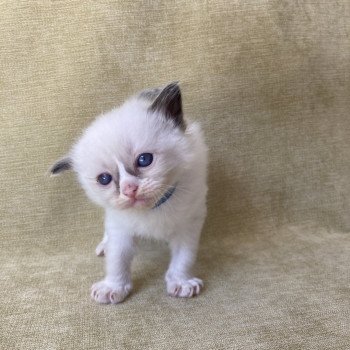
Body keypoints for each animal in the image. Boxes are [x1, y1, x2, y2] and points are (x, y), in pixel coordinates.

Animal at [51, 82, 208, 304]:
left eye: (144, 160)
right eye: (104, 179)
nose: (129, 190)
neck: (152, 209)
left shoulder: (189, 224)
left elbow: (183, 257)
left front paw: (180, 282)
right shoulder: (120, 226)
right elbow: (117, 260)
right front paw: (113, 287)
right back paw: (104, 245)